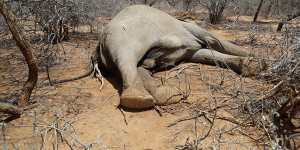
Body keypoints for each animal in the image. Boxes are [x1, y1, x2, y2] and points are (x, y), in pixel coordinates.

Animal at [95, 5, 266, 109]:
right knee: (127, 57)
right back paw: (140, 98)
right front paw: (260, 63)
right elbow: (213, 42)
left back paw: (167, 95)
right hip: (124, 35)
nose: (154, 62)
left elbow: (204, 54)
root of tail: (101, 42)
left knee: (133, 65)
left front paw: (254, 65)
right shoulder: (189, 30)